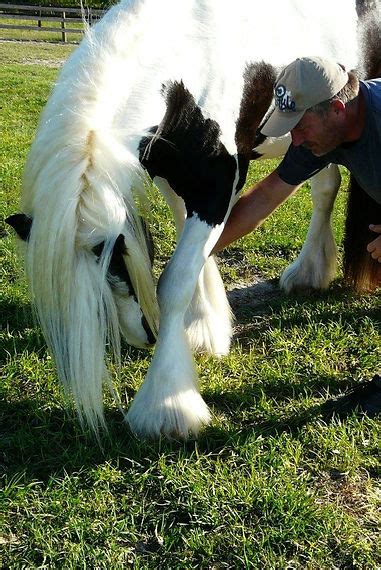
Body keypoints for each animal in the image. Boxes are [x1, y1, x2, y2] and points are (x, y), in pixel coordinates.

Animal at [5, 0, 378, 438]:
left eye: (117, 261)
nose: (145, 337)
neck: (190, 61)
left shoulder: (218, 186)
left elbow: (176, 281)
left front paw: (166, 405)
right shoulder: (173, 177)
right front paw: (202, 326)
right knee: (325, 187)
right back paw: (309, 272)